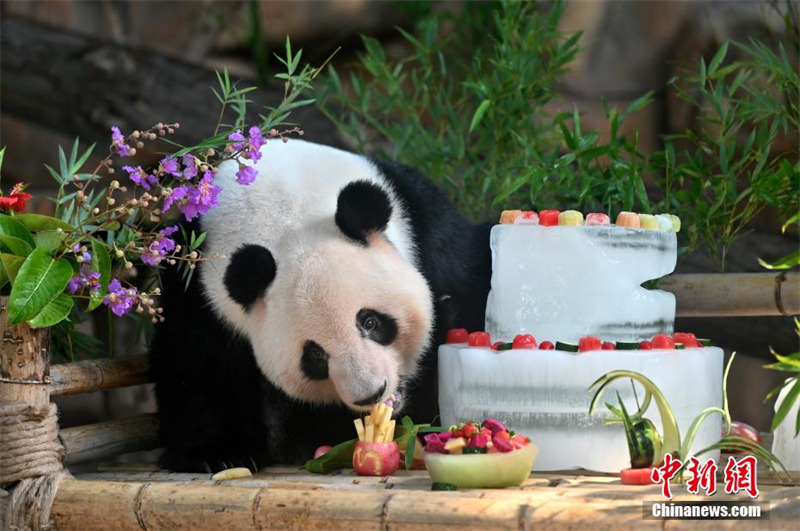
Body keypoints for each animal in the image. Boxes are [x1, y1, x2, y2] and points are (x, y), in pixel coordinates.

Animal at [149, 139, 492, 472]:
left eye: (370, 322)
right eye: (315, 355)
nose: (372, 393)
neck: (285, 218)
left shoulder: (425, 225)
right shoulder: (197, 287)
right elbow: (195, 366)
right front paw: (216, 454)